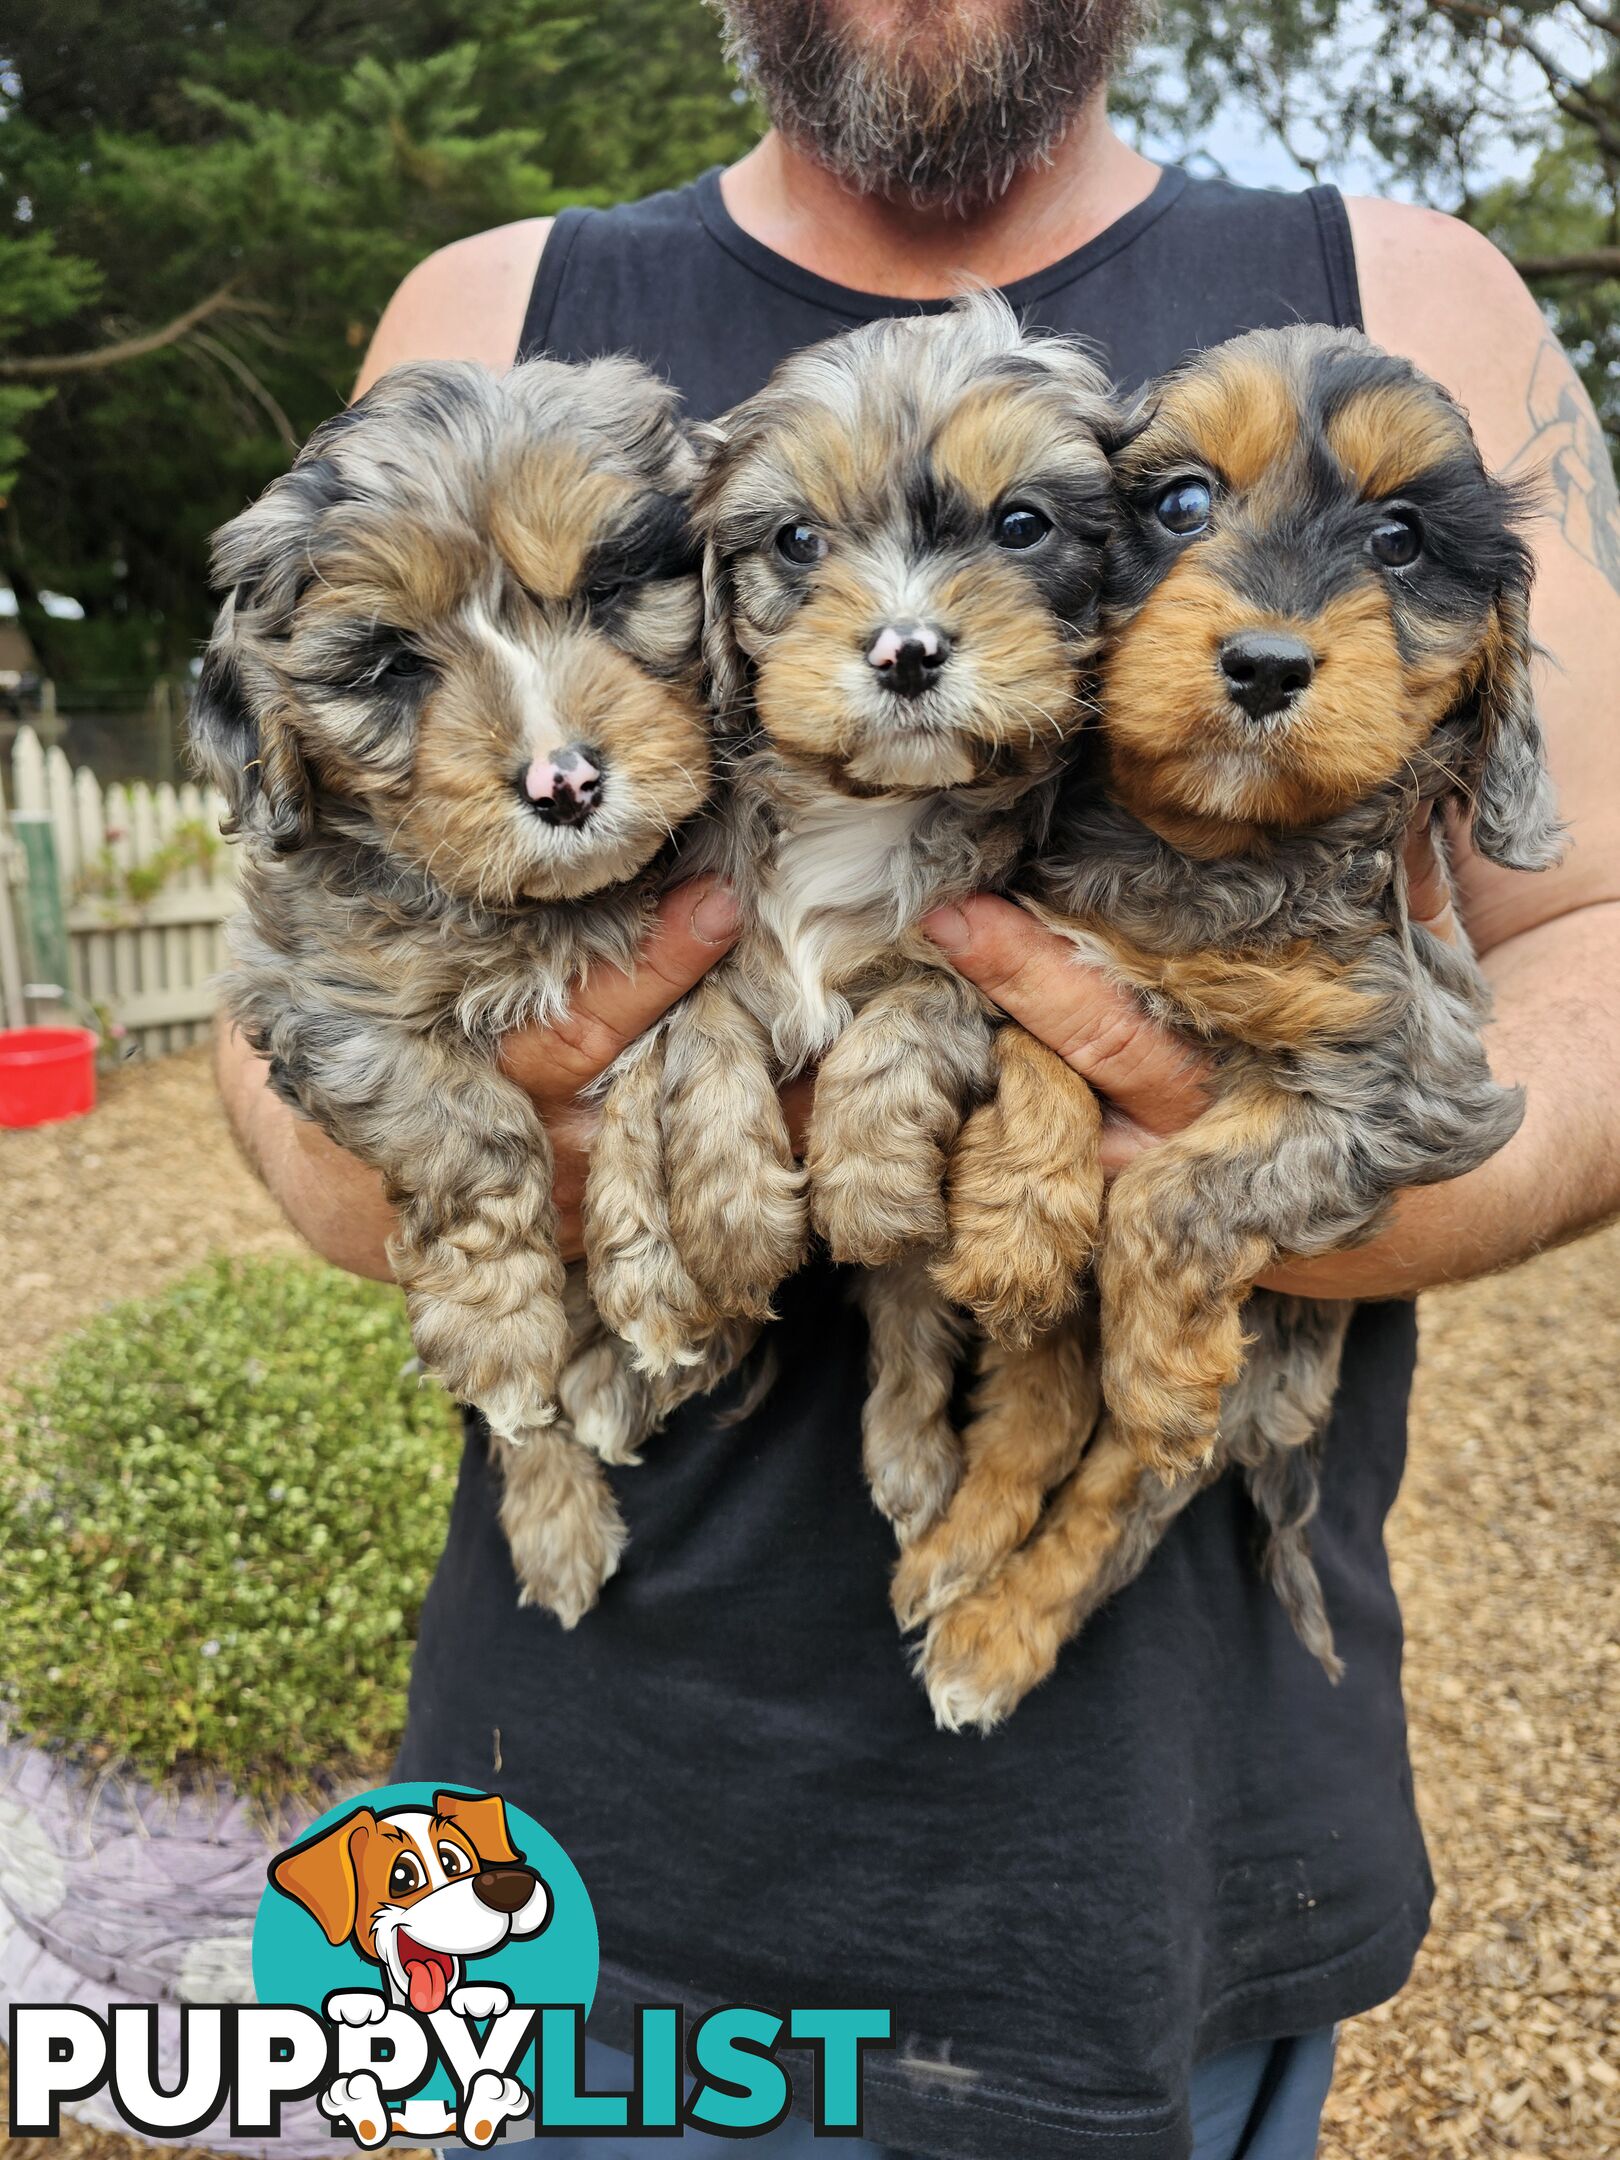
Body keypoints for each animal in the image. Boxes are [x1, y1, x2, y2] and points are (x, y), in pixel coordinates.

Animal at [192, 362, 717, 1624]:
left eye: (610, 588)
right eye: (391, 667)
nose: (564, 781)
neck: (540, 912)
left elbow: (659, 1082)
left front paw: (653, 1272)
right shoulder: (316, 988)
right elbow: (466, 1131)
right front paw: (494, 1324)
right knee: (522, 1422)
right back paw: (558, 1504)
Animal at [591, 295, 1123, 1555]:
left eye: (1021, 525)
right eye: (796, 542)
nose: (907, 649)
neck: (862, 805)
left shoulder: (979, 951)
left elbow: (899, 1030)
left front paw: (868, 1180)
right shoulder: (702, 938)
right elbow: (705, 1049)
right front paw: (735, 1218)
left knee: (911, 1322)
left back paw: (912, 1458)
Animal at [907, 319, 1563, 1728]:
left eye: (1401, 539)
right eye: (1181, 503)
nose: (1266, 666)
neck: (1214, 856)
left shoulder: (1412, 1089)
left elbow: (1175, 1194)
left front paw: (1159, 1360)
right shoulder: (1048, 951)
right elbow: (1039, 1057)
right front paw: (1019, 1216)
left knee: (1115, 1488)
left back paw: (998, 1631)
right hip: (1050, 1355)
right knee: (1032, 1416)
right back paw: (957, 1550)